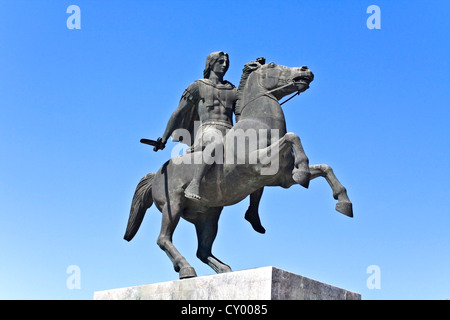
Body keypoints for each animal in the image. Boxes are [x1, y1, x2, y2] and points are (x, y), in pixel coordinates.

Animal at [125, 60, 354, 280]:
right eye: (272, 65)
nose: (305, 70)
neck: (259, 124)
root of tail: (158, 174)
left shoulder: (282, 179)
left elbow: (323, 167)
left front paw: (343, 202)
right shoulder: (257, 161)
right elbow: (292, 137)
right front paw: (304, 173)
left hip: (208, 216)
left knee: (203, 250)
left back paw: (224, 268)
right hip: (173, 205)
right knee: (164, 239)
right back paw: (186, 269)